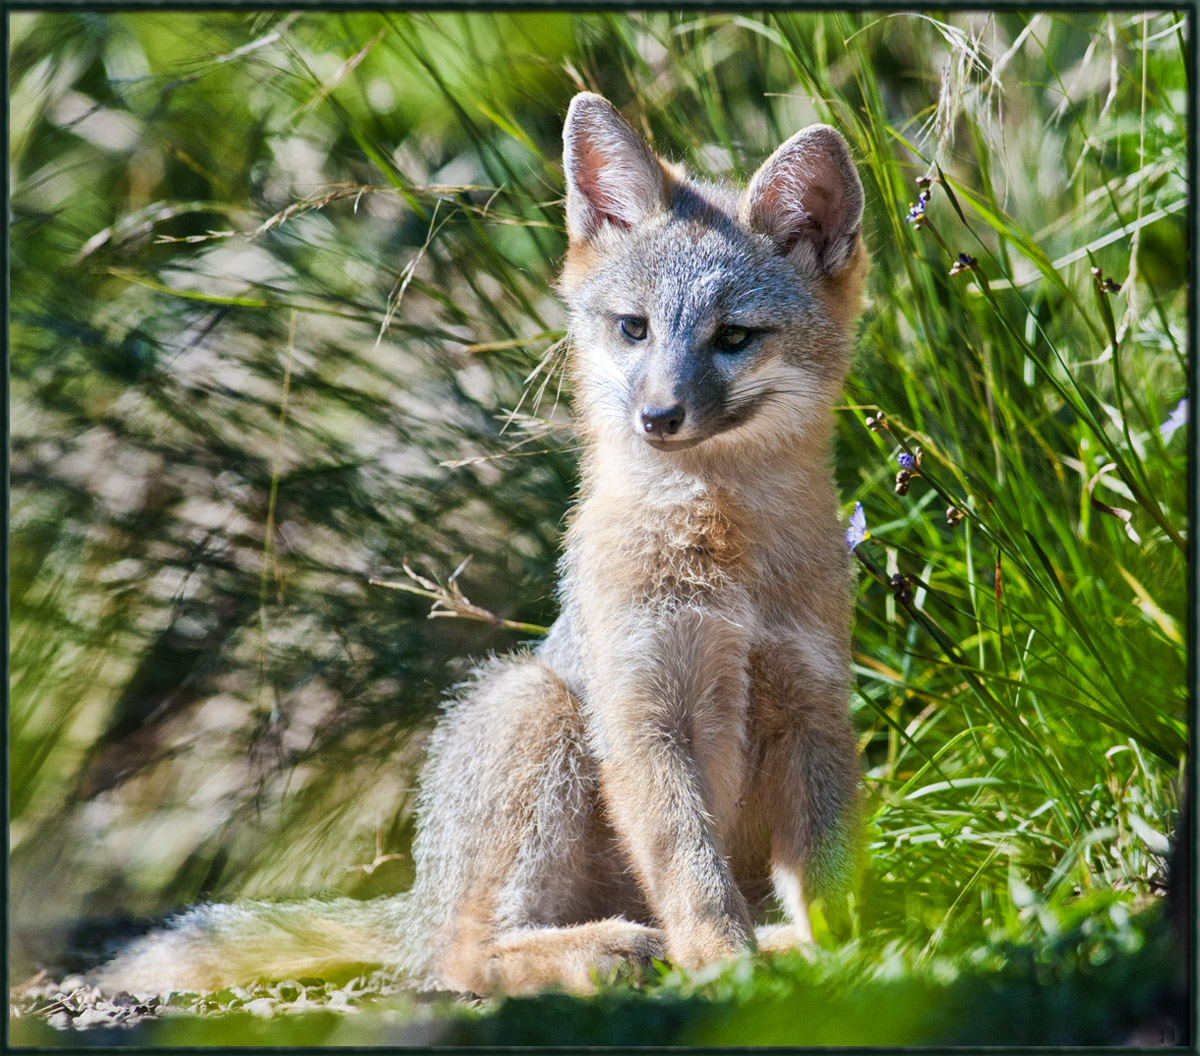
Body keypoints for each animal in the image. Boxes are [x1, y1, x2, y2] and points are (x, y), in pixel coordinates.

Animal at [91, 91, 869, 998]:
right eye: (634, 329)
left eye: (735, 336)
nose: (659, 415)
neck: (727, 554)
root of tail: (414, 903)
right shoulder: (645, 714)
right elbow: (691, 873)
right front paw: (723, 965)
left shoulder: (814, 703)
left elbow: (830, 876)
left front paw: (843, 954)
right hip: (536, 711)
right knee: (462, 953)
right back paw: (610, 949)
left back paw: (759, 948)